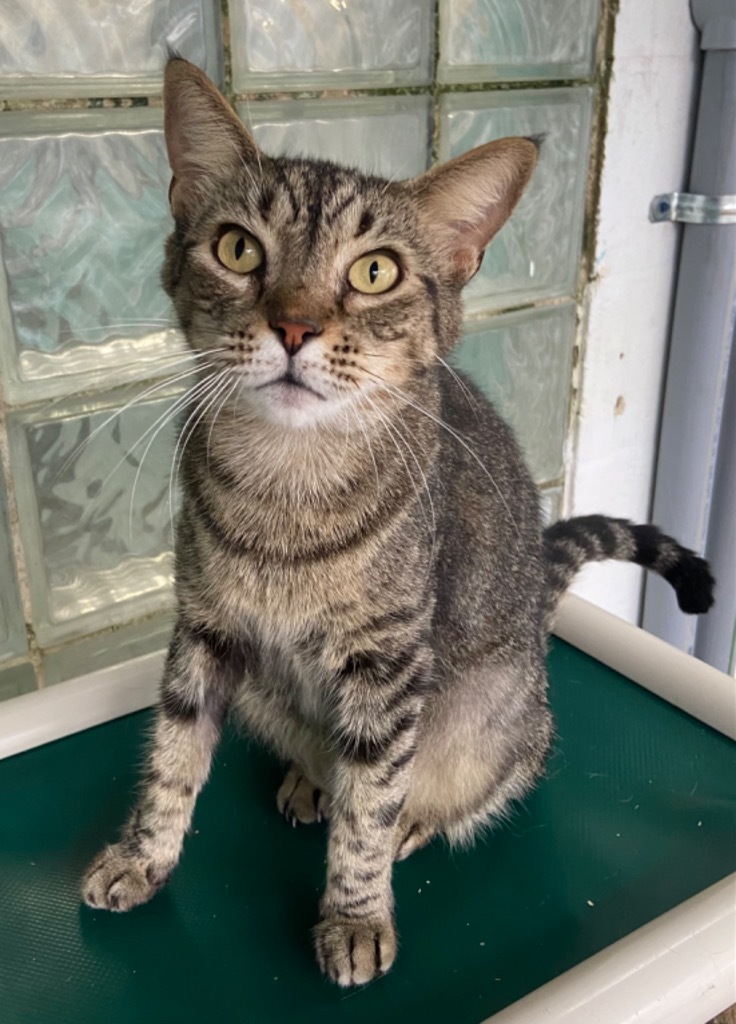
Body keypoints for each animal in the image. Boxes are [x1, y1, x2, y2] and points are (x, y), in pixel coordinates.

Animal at [80, 59, 712, 987]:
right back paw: (310, 778)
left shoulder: (388, 665)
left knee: (465, 784)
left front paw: (354, 913)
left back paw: (411, 813)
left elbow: (370, 807)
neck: (285, 489)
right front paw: (142, 855)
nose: (295, 325)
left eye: (375, 272)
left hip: (491, 724)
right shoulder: (202, 628)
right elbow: (172, 755)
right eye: (238, 249)